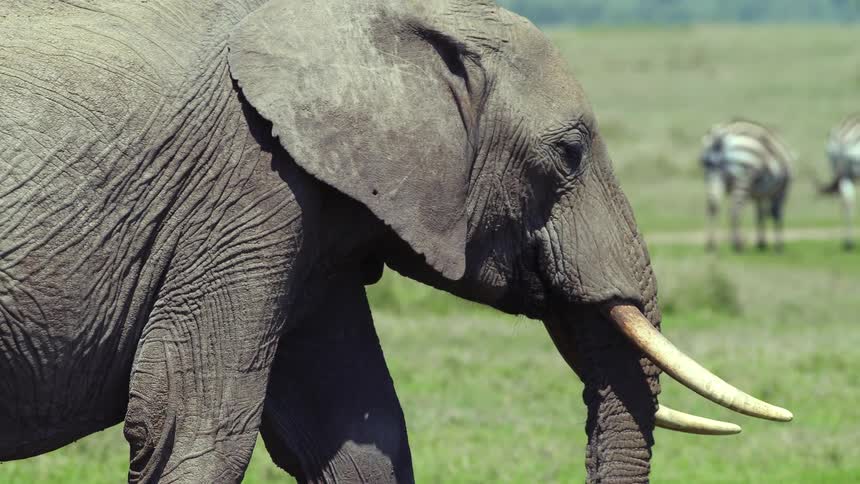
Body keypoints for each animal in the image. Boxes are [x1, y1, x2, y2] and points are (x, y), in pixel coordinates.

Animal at [700, 119, 793, 252]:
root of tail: (718, 135)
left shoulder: (760, 195)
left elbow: (760, 215)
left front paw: (761, 243)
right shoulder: (781, 191)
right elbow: (776, 214)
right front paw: (778, 246)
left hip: (711, 175)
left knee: (712, 205)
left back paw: (711, 244)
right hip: (743, 178)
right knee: (734, 209)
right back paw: (737, 244)